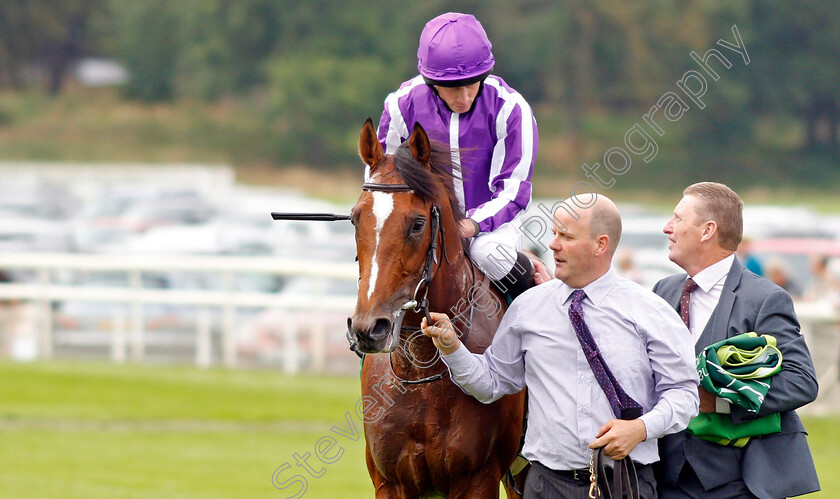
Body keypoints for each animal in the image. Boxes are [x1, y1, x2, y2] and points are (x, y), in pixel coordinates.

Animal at [346, 119, 524, 498]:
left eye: (417, 223)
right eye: (355, 219)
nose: (369, 328)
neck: (421, 372)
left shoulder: (478, 477)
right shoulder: (390, 481)